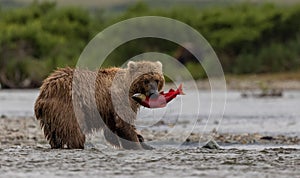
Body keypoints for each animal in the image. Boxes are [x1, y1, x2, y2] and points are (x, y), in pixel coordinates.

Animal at [34, 60, 164, 149]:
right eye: (146, 80)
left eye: (157, 80)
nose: (154, 93)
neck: (130, 88)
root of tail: (44, 91)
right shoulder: (119, 100)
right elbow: (123, 124)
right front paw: (136, 143)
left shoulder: (108, 110)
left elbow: (113, 128)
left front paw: (143, 141)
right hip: (69, 107)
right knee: (74, 132)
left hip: (51, 117)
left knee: (55, 136)